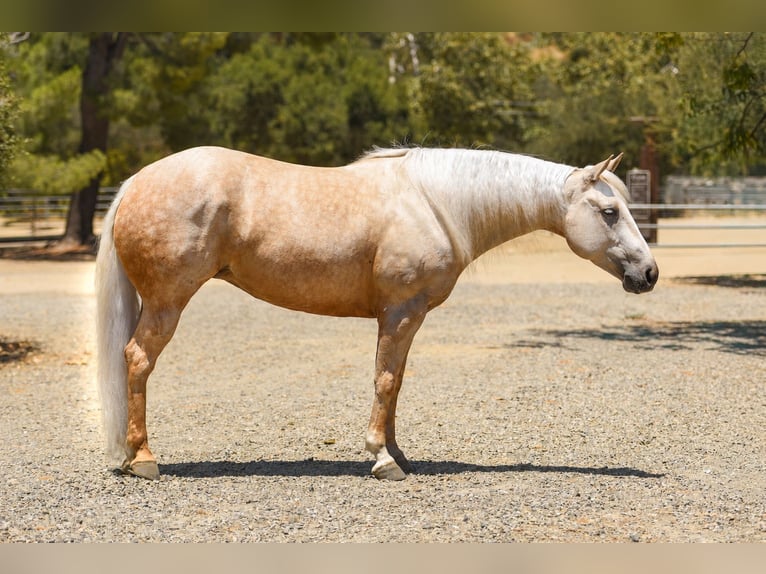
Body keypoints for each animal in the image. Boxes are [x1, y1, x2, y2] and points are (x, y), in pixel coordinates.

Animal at [95, 146, 658, 481]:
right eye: (610, 212)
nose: (649, 273)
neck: (435, 204)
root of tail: (137, 180)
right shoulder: (400, 312)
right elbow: (385, 381)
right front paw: (383, 459)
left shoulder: (405, 318)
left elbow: (397, 382)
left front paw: (397, 451)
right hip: (167, 303)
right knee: (138, 359)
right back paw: (142, 458)